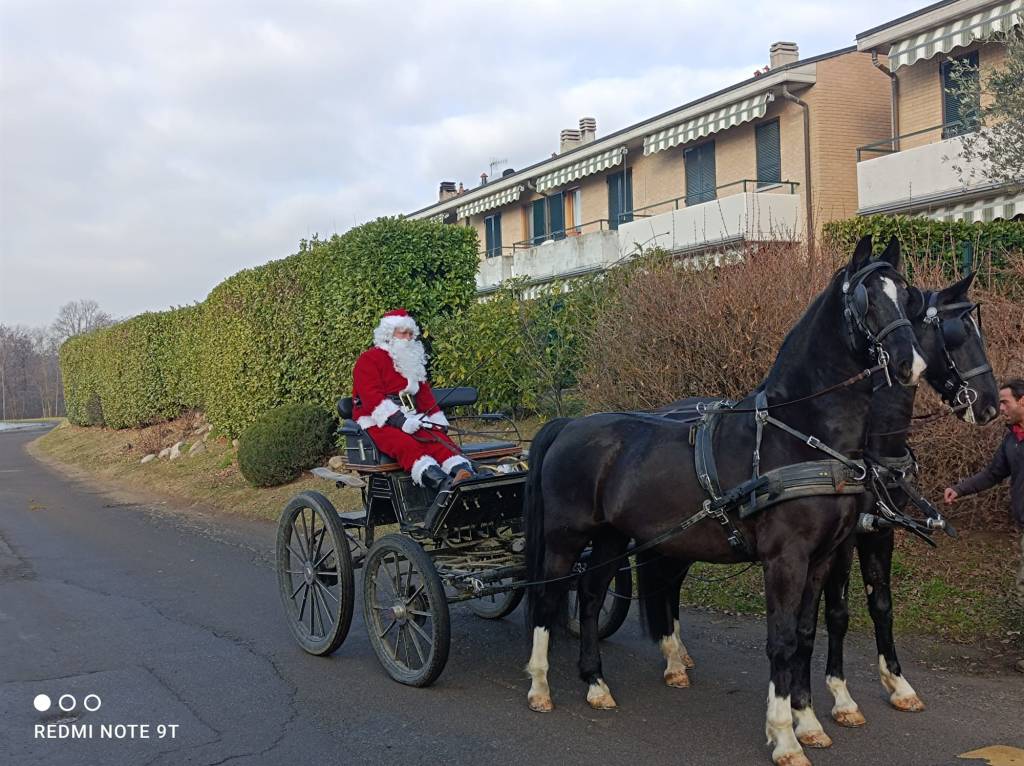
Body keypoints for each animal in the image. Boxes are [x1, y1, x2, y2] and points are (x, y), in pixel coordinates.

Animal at [528, 239, 929, 766]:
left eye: (908, 297)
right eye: (867, 300)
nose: (910, 365)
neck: (800, 435)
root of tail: (569, 425)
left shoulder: (821, 558)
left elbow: (805, 634)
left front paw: (808, 720)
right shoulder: (785, 559)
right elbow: (781, 640)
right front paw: (783, 736)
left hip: (613, 539)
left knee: (592, 599)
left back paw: (595, 683)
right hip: (566, 538)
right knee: (549, 599)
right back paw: (539, 687)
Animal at [638, 268, 999, 737]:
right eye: (957, 333)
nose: (991, 405)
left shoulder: (878, 532)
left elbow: (880, 605)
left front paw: (897, 684)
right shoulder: (841, 541)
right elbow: (837, 614)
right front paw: (837, 698)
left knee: (668, 580)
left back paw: (678, 653)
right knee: (665, 580)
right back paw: (672, 658)